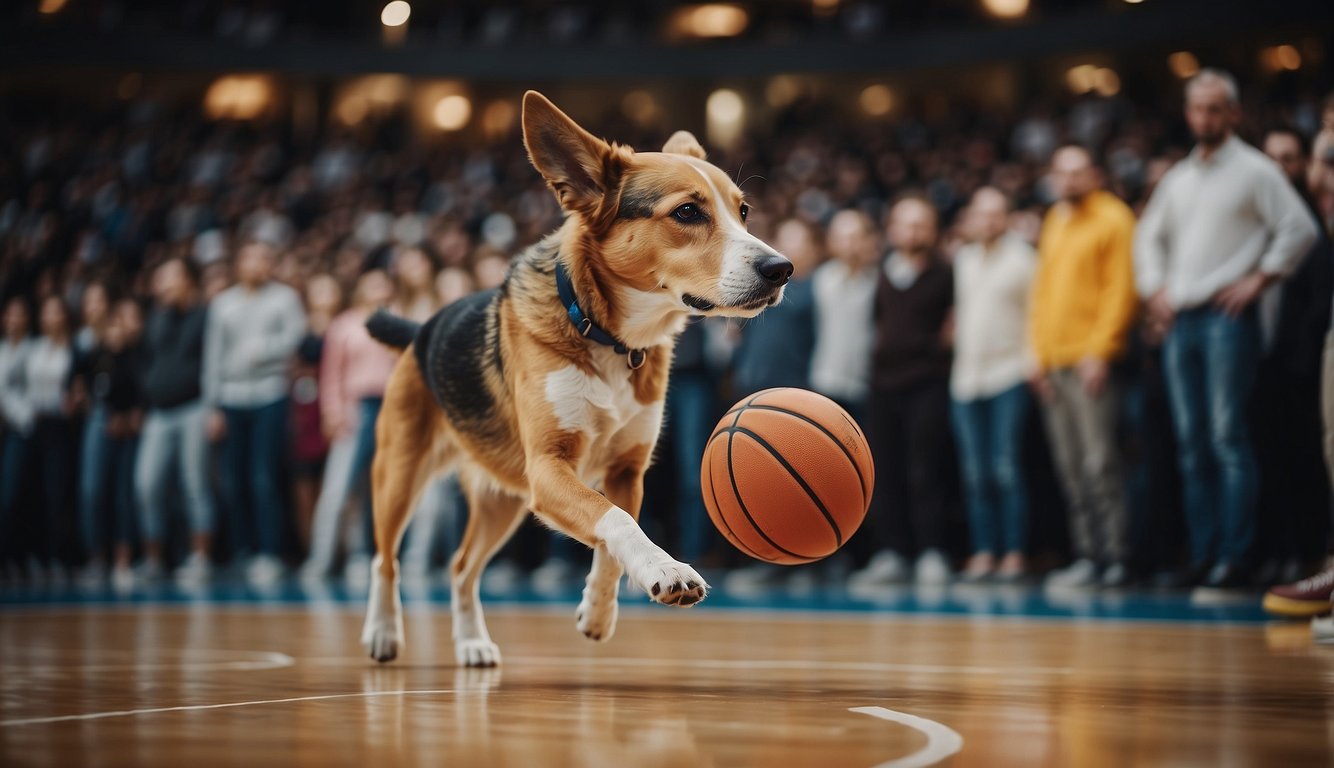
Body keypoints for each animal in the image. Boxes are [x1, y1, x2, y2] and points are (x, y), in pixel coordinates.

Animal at [360, 90, 789, 666]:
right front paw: (668, 568)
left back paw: (471, 641)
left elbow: (613, 534)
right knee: (384, 559)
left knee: (461, 568)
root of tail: (421, 329)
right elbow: (616, 521)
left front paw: (599, 611)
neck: (609, 335)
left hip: (503, 500)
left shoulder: (626, 472)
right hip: (399, 475)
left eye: (743, 212)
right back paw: (383, 631)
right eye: (687, 212)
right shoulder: (549, 468)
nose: (781, 268)